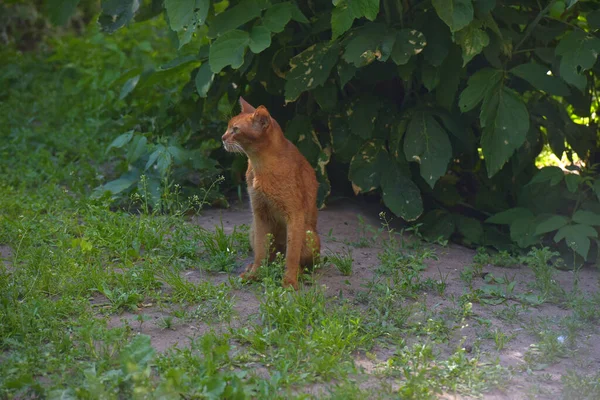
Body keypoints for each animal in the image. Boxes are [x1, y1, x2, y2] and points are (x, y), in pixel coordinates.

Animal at [221, 98, 324, 290]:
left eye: (235, 129)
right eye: (228, 127)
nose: (222, 138)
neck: (260, 165)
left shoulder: (295, 215)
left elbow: (292, 255)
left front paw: (289, 282)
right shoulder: (260, 213)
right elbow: (260, 252)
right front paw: (254, 275)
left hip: (309, 234)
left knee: (299, 260)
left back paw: (299, 273)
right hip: (253, 229)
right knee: (269, 256)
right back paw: (252, 268)